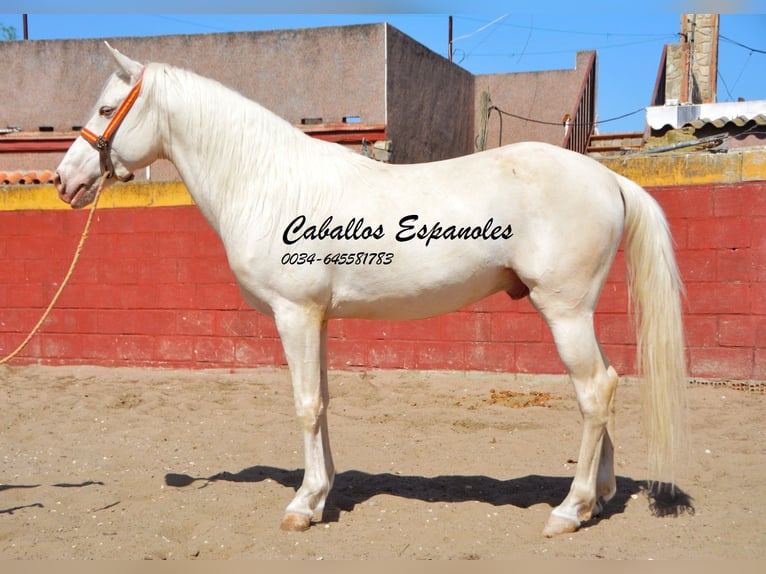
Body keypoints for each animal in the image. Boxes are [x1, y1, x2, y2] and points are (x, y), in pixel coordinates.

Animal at [55, 44, 688, 536]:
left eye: (107, 108)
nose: (64, 181)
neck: (269, 182)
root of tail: (608, 178)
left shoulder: (294, 314)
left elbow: (305, 405)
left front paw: (302, 506)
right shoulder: (316, 318)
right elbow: (323, 402)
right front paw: (321, 494)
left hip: (564, 311)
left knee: (594, 392)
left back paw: (569, 510)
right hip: (576, 313)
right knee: (605, 385)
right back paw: (599, 496)